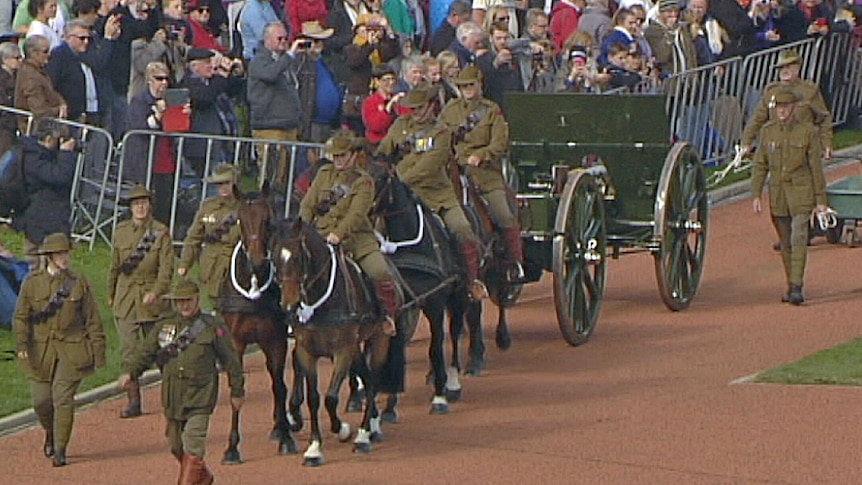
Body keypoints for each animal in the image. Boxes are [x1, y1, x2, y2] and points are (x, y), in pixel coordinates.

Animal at [221, 183, 298, 464]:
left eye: (267, 221)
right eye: (240, 220)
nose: (256, 260)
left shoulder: (276, 339)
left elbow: (279, 385)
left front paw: (286, 438)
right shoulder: (236, 342)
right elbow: (237, 392)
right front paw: (232, 447)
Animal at [274, 217, 392, 464]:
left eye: (297, 257)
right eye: (274, 258)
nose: (288, 306)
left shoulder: (342, 351)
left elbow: (330, 397)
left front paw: (343, 429)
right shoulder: (307, 351)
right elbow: (314, 398)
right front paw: (314, 447)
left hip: (379, 340)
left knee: (374, 379)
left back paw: (364, 435)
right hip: (356, 348)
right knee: (367, 378)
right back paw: (370, 425)